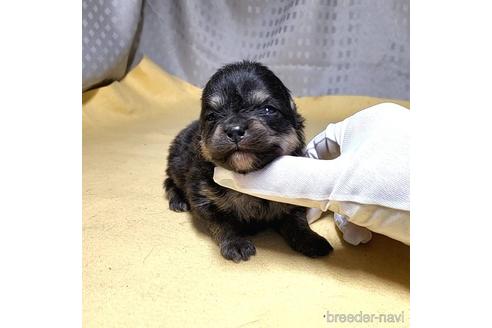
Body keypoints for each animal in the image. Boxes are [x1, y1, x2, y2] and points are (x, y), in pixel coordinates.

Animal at [163, 60, 332, 262]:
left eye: (268, 109)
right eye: (212, 116)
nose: (234, 130)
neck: (247, 174)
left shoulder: (292, 201)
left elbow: (297, 222)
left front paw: (311, 240)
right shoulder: (203, 197)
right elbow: (223, 223)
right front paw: (236, 243)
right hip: (176, 165)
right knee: (169, 182)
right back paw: (178, 201)